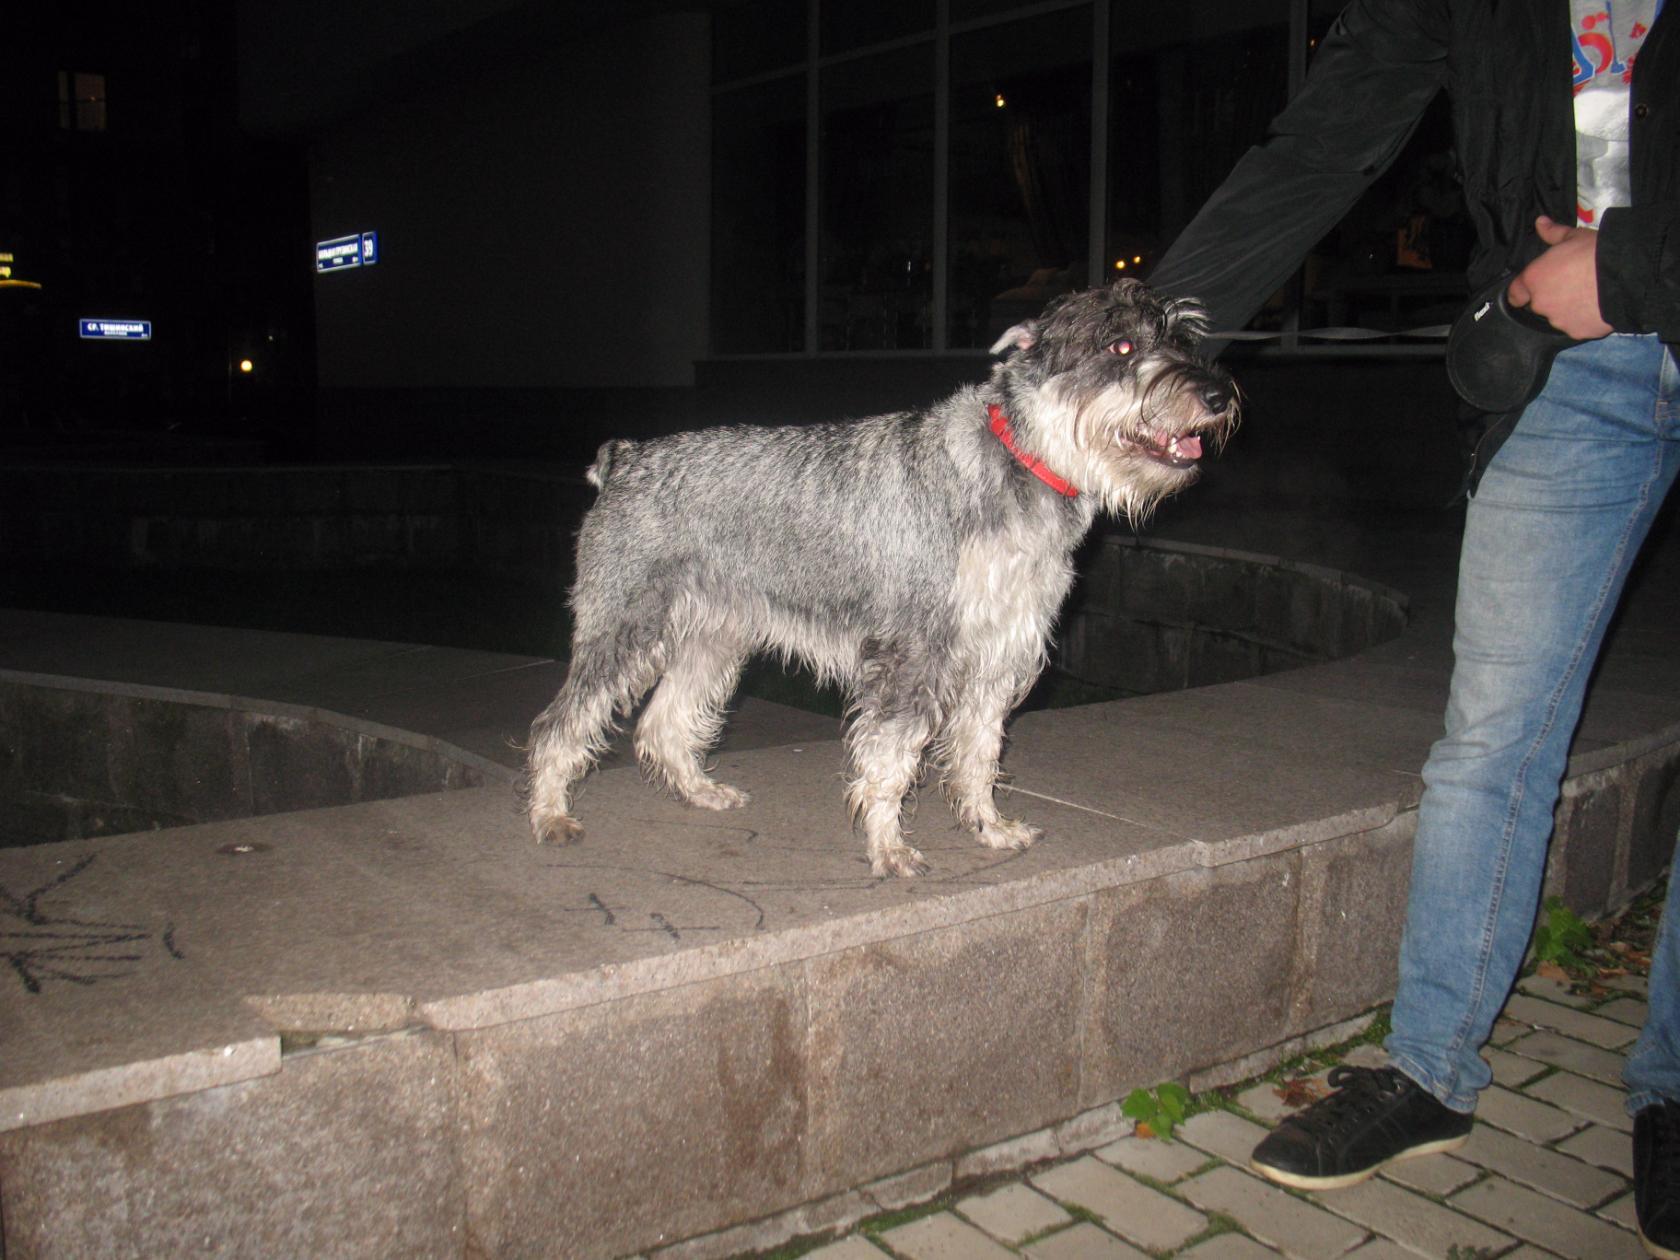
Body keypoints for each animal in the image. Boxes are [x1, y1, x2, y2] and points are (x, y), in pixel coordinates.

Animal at [522, 280, 1238, 876]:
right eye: (1121, 345)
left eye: (1183, 340)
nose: (1219, 395)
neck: (1020, 460)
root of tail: (624, 458)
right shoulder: (914, 655)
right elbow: (892, 760)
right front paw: (889, 848)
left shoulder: (999, 654)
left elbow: (979, 753)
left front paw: (989, 828)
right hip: (624, 628)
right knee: (562, 721)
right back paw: (551, 814)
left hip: (715, 639)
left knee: (664, 722)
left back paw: (701, 791)